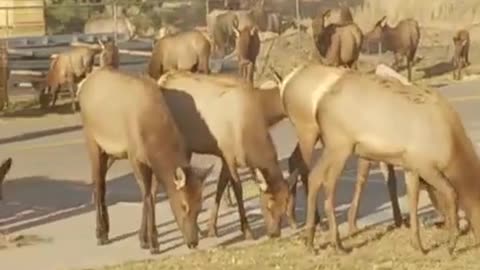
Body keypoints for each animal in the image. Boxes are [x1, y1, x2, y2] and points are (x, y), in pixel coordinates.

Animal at [79, 68, 214, 254]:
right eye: (183, 205)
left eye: (200, 206)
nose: (193, 242)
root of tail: (84, 84)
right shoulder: (135, 157)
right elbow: (147, 196)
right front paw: (153, 243)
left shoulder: (153, 166)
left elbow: (151, 195)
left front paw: (143, 239)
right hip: (92, 140)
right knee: (98, 184)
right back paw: (100, 233)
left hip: (111, 153)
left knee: (102, 184)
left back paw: (106, 228)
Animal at [272, 63, 480, 255]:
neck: (453, 148)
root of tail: (319, 104)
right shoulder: (425, 165)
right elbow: (452, 193)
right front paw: (451, 244)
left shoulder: (411, 167)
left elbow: (413, 200)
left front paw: (418, 245)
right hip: (337, 145)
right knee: (326, 182)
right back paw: (336, 243)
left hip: (332, 146)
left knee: (315, 176)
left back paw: (311, 241)